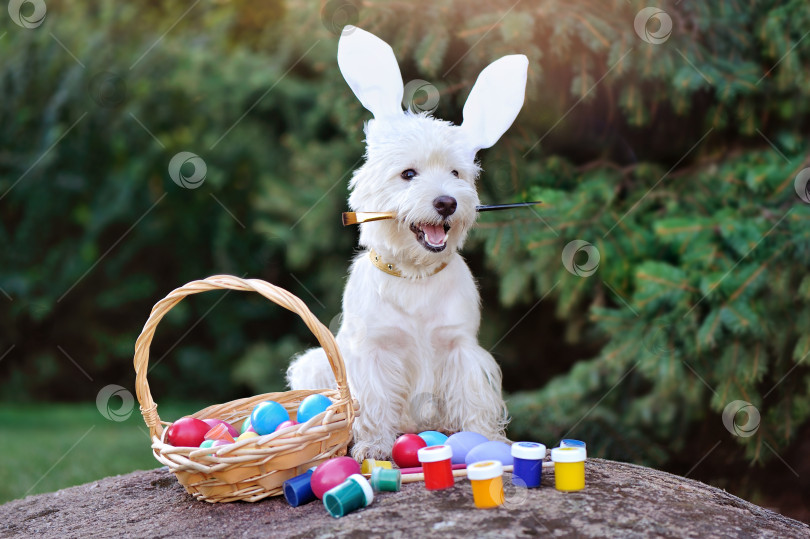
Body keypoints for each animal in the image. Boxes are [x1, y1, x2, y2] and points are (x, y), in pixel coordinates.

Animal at [288, 26, 528, 460]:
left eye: (456, 173)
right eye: (408, 174)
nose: (447, 202)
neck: (415, 274)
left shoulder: (461, 347)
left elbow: (473, 396)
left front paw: (485, 440)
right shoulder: (373, 351)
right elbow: (374, 400)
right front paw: (373, 446)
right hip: (312, 364)